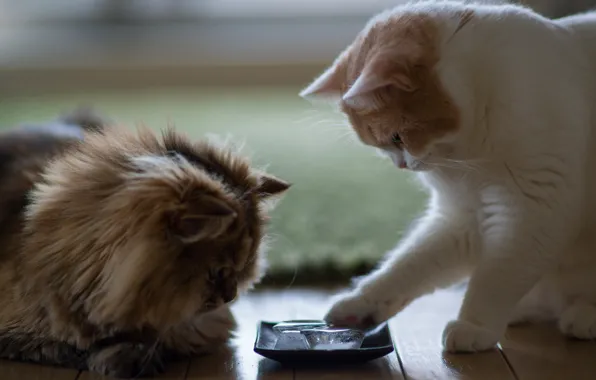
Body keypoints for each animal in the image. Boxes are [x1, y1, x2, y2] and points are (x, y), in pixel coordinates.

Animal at [0, 109, 292, 378]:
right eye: (218, 272)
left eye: (243, 271)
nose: (230, 296)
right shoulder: (18, 334)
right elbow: (67, 346)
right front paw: (125, 357)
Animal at [300, 0, 596, 352]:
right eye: (381, 147)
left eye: (397, 138)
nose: (401, 166)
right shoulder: (460, 219)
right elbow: (407, 267)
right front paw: (359, 305)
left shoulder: (532, 210)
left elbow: (497, 276)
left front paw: (473, 326)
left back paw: (584, 316)